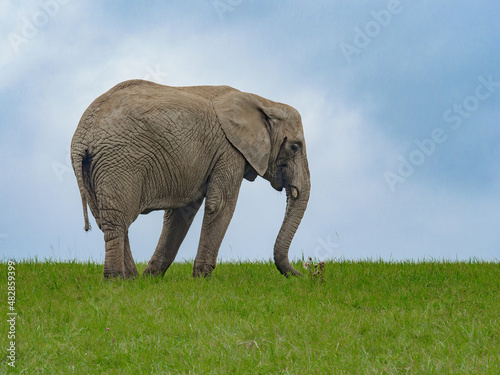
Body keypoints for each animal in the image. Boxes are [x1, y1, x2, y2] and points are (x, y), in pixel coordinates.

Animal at [71, 79, 310, 280]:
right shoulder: (229, 150)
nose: (305, 272)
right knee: (117, 222)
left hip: (93, 168)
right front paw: (202, 279)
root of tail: (83, 134)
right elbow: (220, 204)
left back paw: (132, 279)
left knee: (109, 220)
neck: (263, 102)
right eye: (294, 147)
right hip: (120, 162)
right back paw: (116, 280)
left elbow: (180, 213)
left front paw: (152, 278)